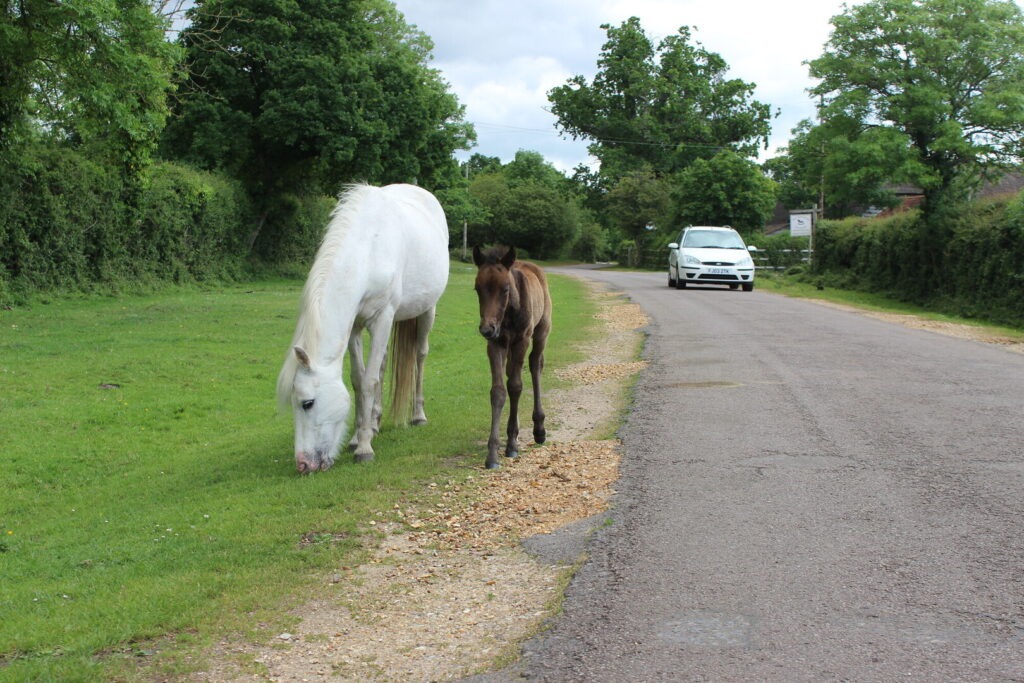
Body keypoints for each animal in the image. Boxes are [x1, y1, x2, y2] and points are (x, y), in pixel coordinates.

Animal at [276, 184, 449, 473]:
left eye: (307, 403)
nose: (303, 464)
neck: (368, 250)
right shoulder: (355, 326)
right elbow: (360, 379)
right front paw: (359, 437)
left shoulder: (382, 318)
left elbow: (369, 381)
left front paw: (365, 449)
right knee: (382, 365)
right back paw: (375, 421)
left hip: (427, 311)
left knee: (420, 356)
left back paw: (417, 415)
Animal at [472, 245, 553, 469]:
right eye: (477, 289)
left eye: (505, 289)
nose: (487, 329)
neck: (507, 315)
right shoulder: (495, 344)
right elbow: (499, 391)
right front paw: (492, 454)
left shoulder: (521, 341)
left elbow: (516, 386)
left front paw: (511, 446)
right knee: (511, 373)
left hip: (542, 331)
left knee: (535, 365)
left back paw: (539, 430)